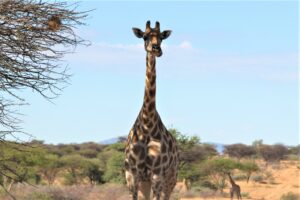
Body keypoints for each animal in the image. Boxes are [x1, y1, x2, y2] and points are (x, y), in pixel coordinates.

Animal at [123, 20, 178, 200]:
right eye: (145, 36)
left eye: (161, 37)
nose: (156, 49)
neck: (147, 125)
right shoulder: (132, 175)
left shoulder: (157, 174)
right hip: (145, 182)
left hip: (171, 178)